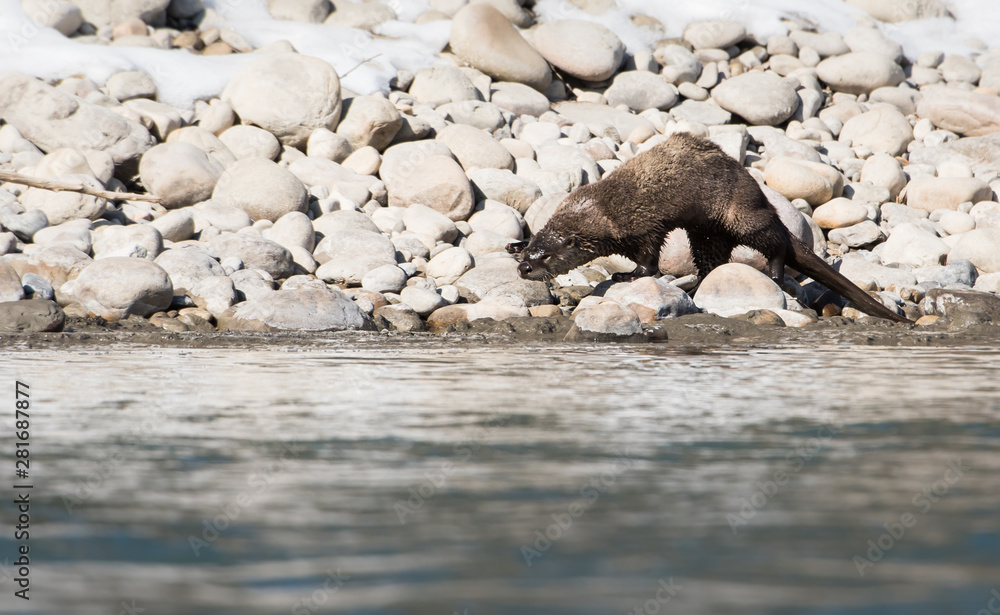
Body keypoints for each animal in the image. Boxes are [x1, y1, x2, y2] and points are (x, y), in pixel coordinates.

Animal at [507, 132, 910, 323]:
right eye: (532, 248)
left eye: (547, 256)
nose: (524, 268)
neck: (607, 211)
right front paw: (511, 244)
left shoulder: (645, 224)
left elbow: (648, 260)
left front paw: (626, 276)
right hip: (706, 233)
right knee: (713, 262)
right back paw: (694, 287)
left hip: (740, 213)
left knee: (775, 239)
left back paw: (776, 272)